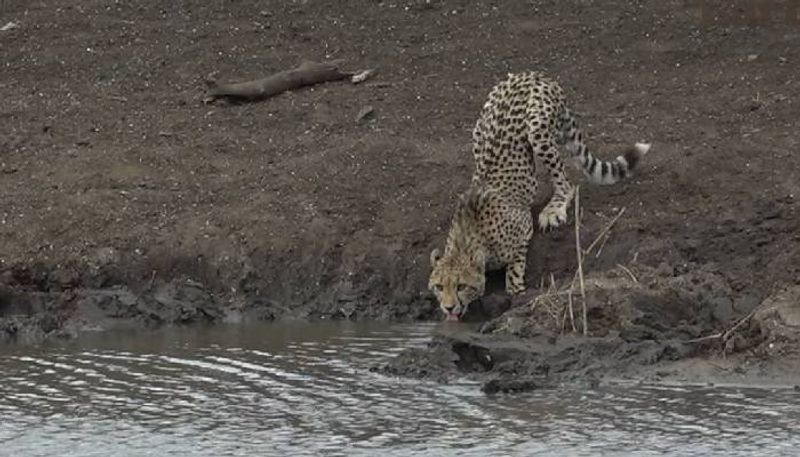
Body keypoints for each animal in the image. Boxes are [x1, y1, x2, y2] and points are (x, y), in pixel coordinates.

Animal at [428, 72, 648, 320]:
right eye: (439, 286)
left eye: (461, 286)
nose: (448, 307)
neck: (467, 238)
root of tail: (530, 74)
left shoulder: (523, 228)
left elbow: (515, 267)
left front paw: (515, 289)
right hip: (479, 129)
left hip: (537, 130)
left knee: (567, 184)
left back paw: (554, 210)